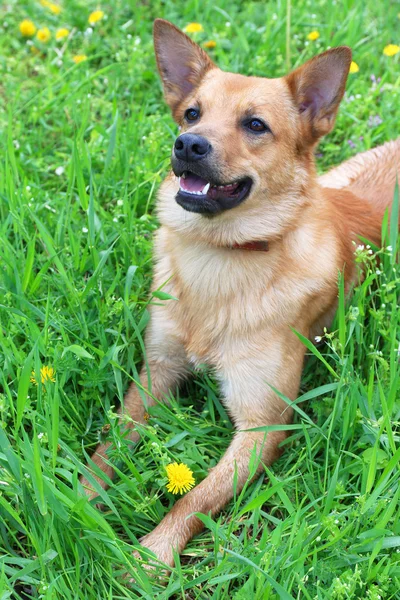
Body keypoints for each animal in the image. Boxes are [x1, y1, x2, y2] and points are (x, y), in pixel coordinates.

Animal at [81, 18, 400, 568]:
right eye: (192, 112)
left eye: (255, 125)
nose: (187, 144)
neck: (222, 257)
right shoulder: (157, 372)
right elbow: (110, 446)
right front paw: (76, 498)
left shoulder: (262, 426)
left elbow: (194, 498)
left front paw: (150, 558)